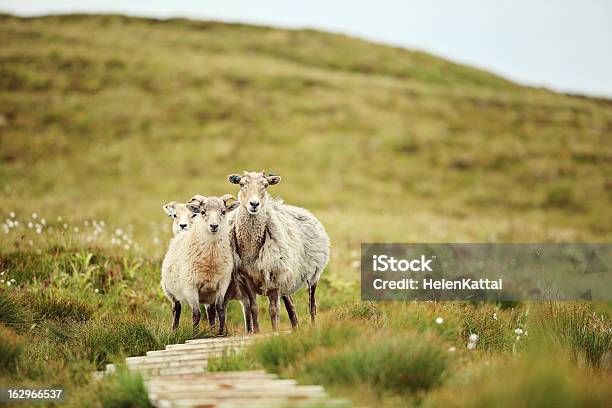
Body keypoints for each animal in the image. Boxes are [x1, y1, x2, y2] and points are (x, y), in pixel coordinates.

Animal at [160, 194, 239, 334]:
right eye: (202, 212)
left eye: (223, 212)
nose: (214, 226)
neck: (210, 261)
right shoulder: (190, 287)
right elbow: (196, 314)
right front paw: (195, 333)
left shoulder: (221, 284)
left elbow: (220, 311)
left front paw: (220, 333)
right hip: (171, 291)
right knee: (176, 310)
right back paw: (174, 331)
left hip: (209, 295)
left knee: (211, 313)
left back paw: (212, 331)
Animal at [227, 171, 330, 330]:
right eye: (241, 184)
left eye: (266, 185)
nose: (254, 204)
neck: (251, 251)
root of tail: (305, 210)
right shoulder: (247, 278)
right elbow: (254, 309)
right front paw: (256, 333)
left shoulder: (274, 279)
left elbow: (273, 310)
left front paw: (275, 331)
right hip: (287, 279)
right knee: (291, 305)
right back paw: (295, 328)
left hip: (313, 274)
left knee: (312, 304)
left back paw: (313, 326)